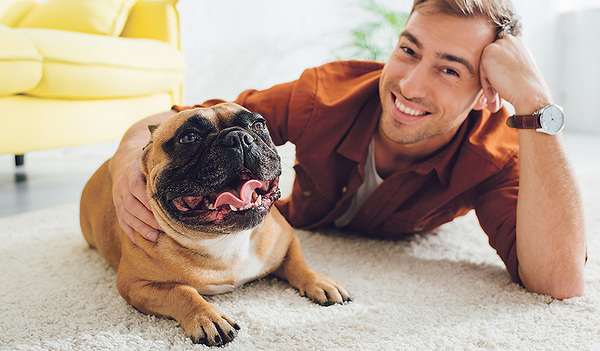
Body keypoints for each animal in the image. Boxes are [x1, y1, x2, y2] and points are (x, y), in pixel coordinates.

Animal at [80, 103, 352, 348]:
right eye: (189, 137)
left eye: (259, 125)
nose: (239, 137)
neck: (226, 240)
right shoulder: (135, 285)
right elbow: (180, 291)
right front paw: (208, 318)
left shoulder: (287, 240)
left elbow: (298, 263)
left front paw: (320, 282)